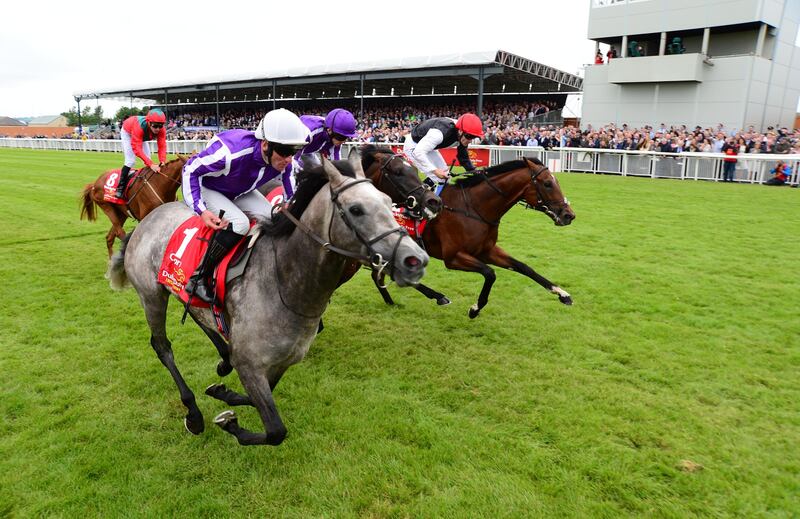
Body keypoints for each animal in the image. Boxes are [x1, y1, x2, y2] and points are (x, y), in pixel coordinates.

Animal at [111, 155, 432, 446]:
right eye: (356, 209)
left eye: (387, 201)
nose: (415, 260)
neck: (285, 285)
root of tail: (147, 219)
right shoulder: (251, 364)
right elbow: (276, 431)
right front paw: (229, 424)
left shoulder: (281, 362)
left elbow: (254, 401)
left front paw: (224, 392)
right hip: (151, 295)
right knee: (162, 346)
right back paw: (194, 414)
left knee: (196, 315)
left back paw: (222, 359)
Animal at [376, 155, 576, 316]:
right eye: (547, 183)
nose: (569, 215)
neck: (473, 208)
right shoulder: (453, 257)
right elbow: (490, 273)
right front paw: (475, 308)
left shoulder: (487, 250)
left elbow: (524, 267)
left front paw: (562, 294)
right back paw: (437, 297)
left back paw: (391, 302)